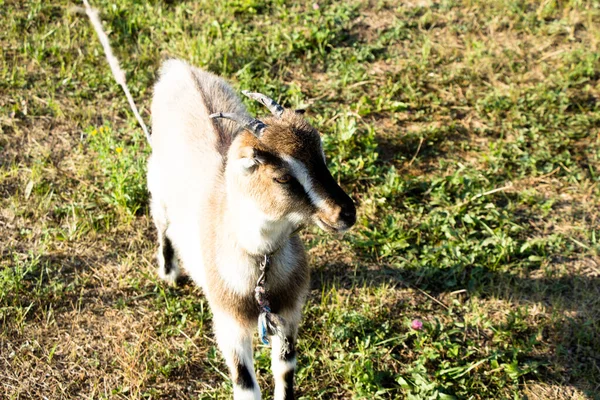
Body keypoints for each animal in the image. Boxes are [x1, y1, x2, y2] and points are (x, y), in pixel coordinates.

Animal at [148, 60, 356, 400]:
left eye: (323, 159)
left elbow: (285, 373)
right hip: (158, 182)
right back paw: (168, 271)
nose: (346, 213)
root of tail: (177, 67)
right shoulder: (228, 325)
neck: (260, 266)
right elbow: (246, 386)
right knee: (163, 223)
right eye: (282, 177)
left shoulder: (287, 318)